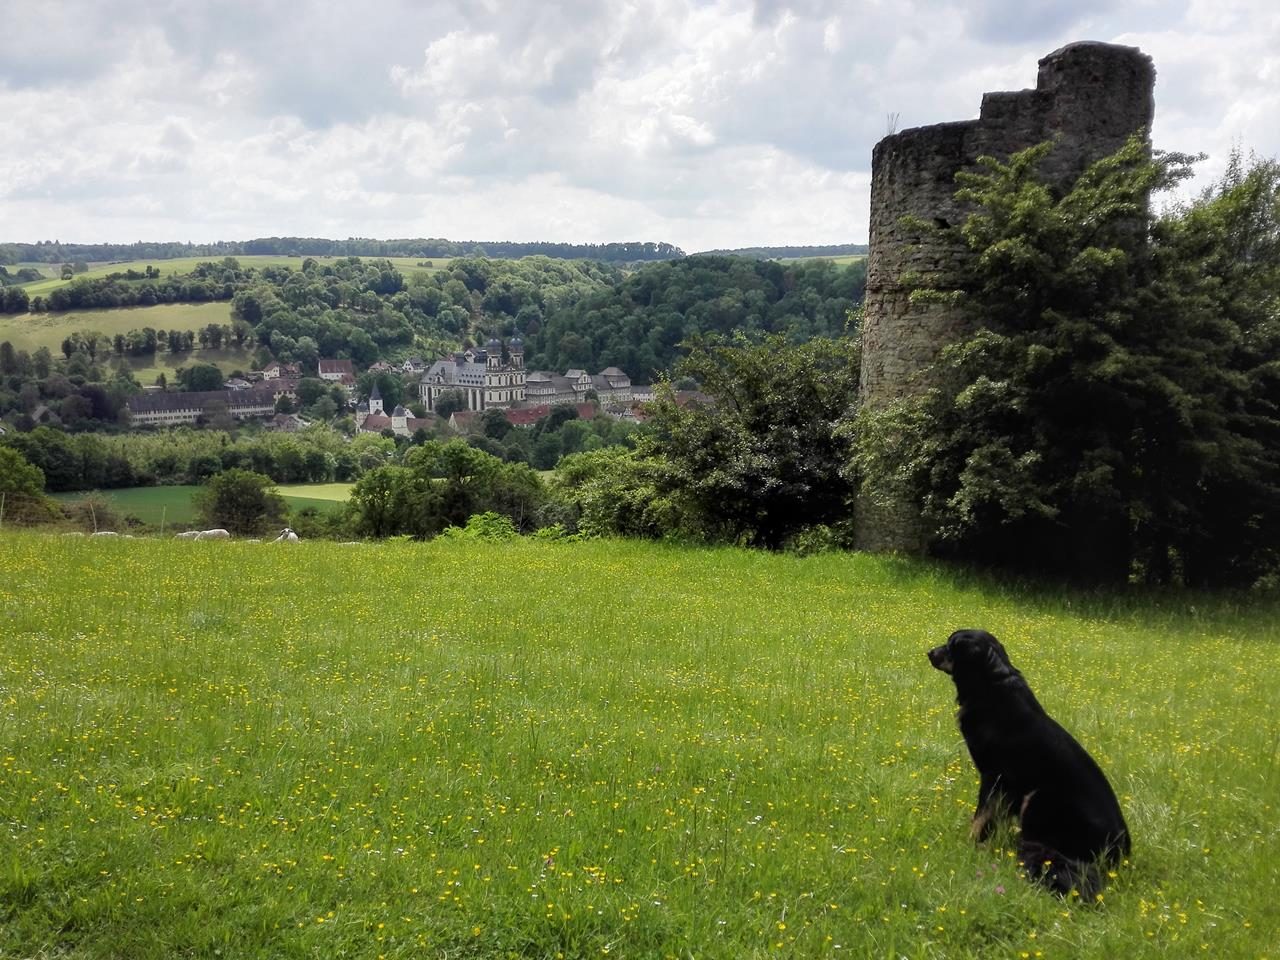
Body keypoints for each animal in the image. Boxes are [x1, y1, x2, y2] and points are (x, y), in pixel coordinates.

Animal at [931, 627, 1131, 901]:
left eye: (951, 646)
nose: (930, 652)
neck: (992, 686)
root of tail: (1123, 852)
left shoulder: (995, 777)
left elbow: (980, 817)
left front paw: (970, 844)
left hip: (1038, 797)